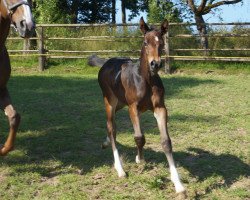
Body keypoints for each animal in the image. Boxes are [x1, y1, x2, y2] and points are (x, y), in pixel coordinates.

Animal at [97, 17, 186, 195]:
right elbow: (139, 137)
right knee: (112, 128)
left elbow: (166, 142)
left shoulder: (160, 108)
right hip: (110, 101)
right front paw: (140, 158)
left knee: (110, 127)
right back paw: (120, 169)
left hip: (120, 103)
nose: (155, 64)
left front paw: (178, 184)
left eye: (161, 43)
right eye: (145, 42)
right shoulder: (133, 108)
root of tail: (106, 62)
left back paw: (105, 142)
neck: (147, 80)